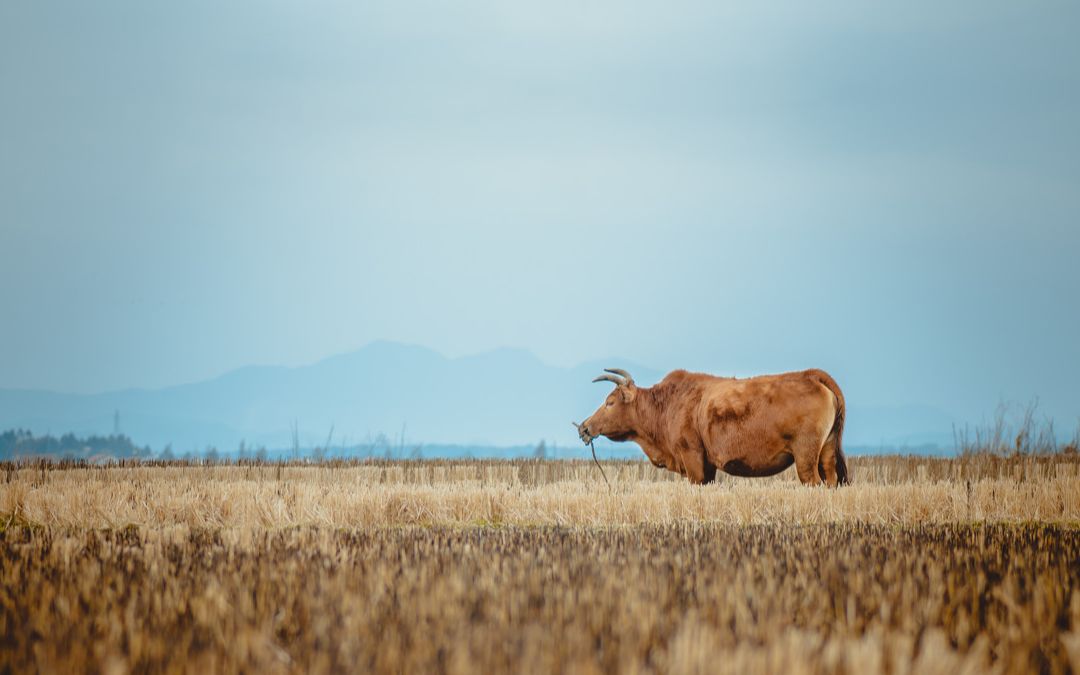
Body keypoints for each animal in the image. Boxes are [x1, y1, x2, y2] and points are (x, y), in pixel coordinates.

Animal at [578, 369, 846, 483]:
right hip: (827, 454)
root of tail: (811, 375)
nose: (584, 427)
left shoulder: (693, 459)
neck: (666, 405)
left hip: (806, 458)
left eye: (610, 402)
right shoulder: (708, 467)